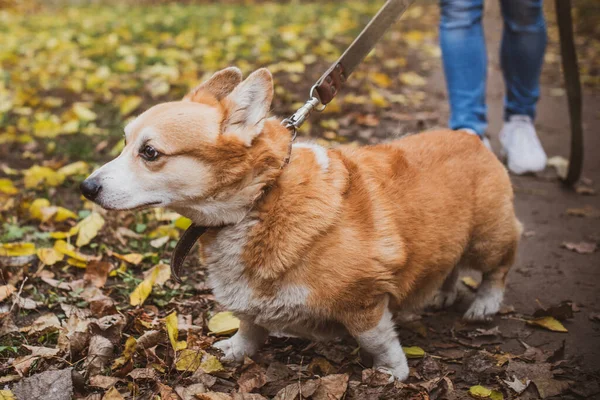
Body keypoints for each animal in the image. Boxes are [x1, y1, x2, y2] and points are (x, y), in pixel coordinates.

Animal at [82, 67, 524, 380]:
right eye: (125, 142)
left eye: (150, 153)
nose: (86, 187)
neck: (260, 200)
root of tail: (469, 137)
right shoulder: (250, 300)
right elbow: (249, 325)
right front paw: (235, 351)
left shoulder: (363, 300)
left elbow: (378, 339)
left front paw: (392, 372)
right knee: (449, 265)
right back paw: (444, 293)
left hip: (487, 240)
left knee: (499, 268)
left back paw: (483, 305)